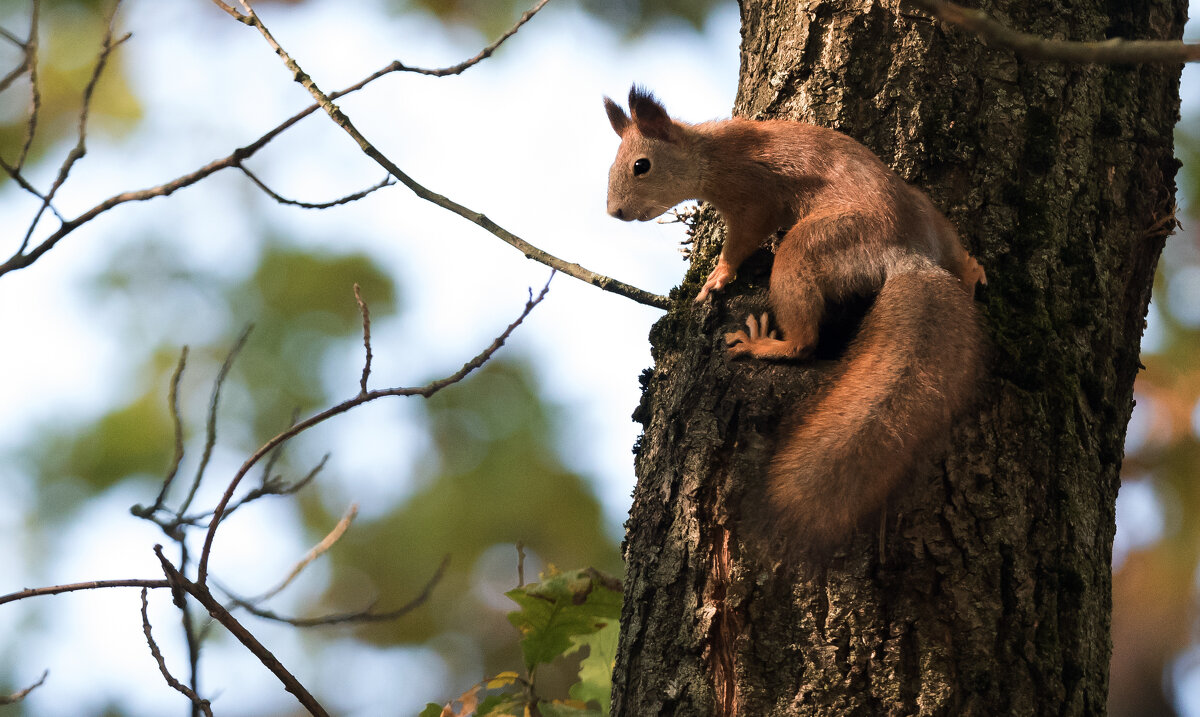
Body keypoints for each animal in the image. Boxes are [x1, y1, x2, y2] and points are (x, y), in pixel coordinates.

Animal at [604, 85, 988, 556]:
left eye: (641, 166)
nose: (615, 212)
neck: (710, 152)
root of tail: (907, 255)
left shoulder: (752, 197)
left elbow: (743, 238)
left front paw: (718, 275)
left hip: (815, 245)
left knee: (804, 336)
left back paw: (768, 344)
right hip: (925, 210)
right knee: (957, 252)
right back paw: (972, 272)